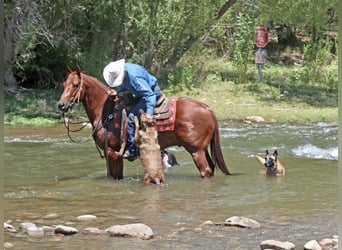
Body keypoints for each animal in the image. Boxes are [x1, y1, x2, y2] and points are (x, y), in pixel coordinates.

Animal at [57, 65, 231, 180]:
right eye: (64, 84)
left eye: (75, 85)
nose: (61, 105)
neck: (106, 112)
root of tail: (206, 108)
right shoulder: (110, 154)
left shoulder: (113, 153)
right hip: (203, 149)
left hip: (196, 151)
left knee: (206, 170)